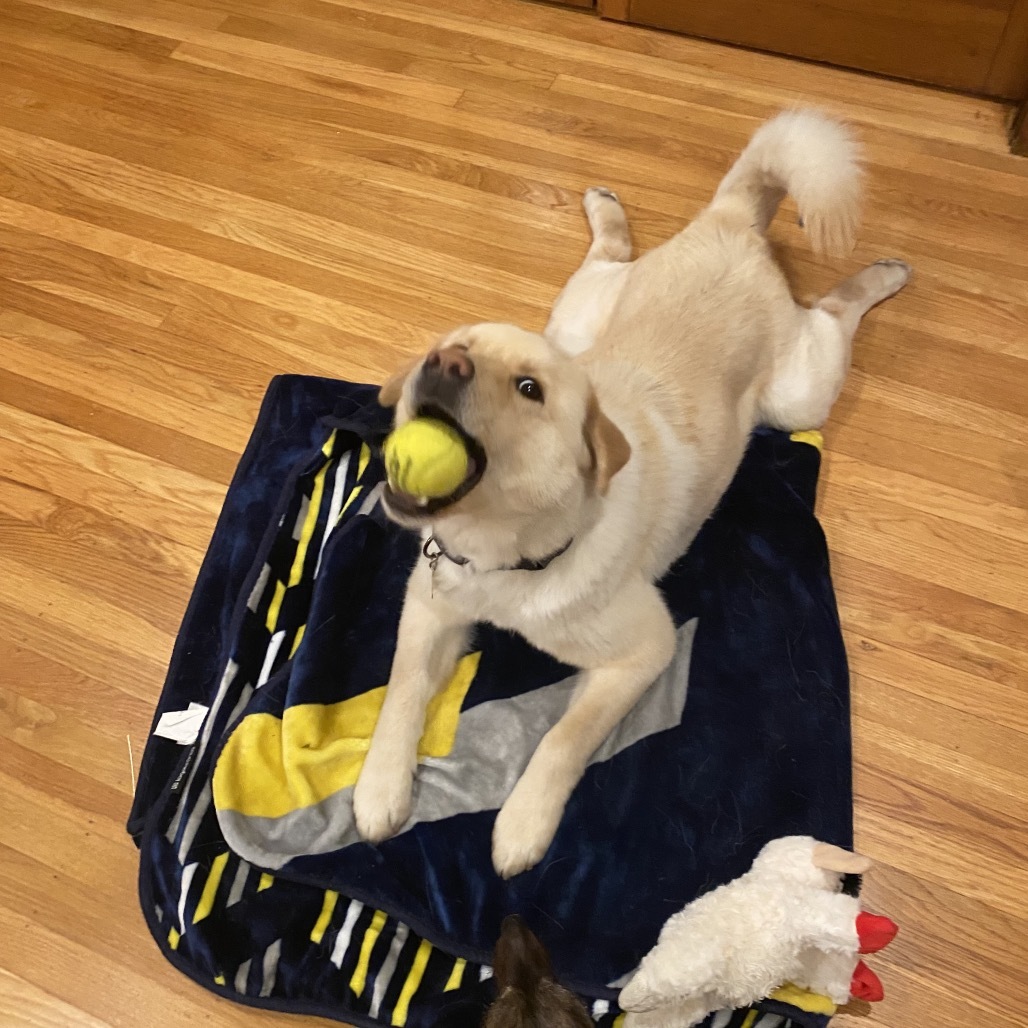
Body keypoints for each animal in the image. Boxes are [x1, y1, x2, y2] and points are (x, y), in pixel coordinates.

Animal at [351, 110, 908, 875]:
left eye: (529, 389)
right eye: (452, 342)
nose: (444, 361)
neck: (511, 555)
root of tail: (731, 224)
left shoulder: (644, 650)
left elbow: (565, 736)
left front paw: (522, 824)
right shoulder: (431, 605)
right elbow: (402, 688)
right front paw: (380, 785)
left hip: (802, 393)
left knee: (833, 307)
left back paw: (885, 273)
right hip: (577, 317)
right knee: (611, 253)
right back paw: (604, 205)